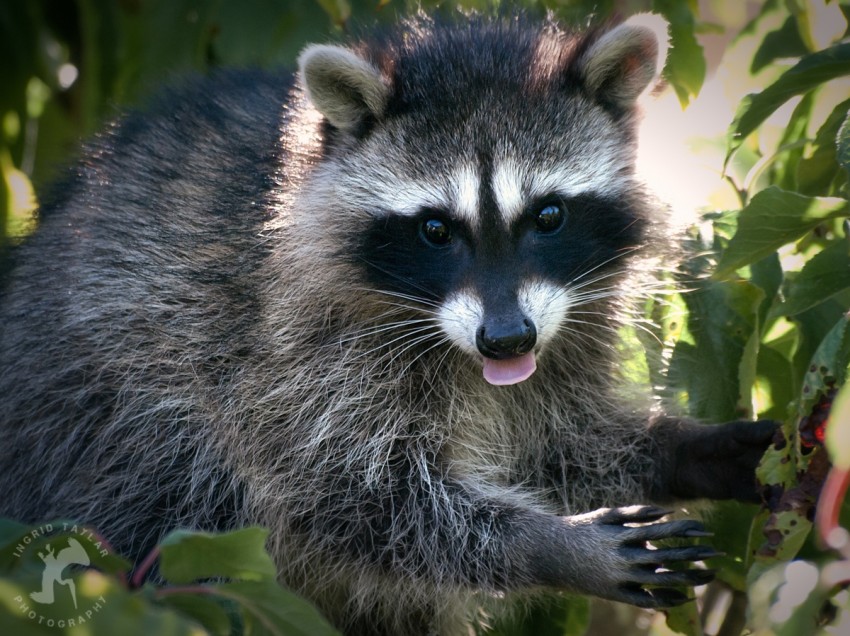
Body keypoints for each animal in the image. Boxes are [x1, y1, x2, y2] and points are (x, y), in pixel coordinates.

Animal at [0, 9, 780, 636]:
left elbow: (561, 446)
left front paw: (682, 449)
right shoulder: (281, 353)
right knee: (174, 480)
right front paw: (550, 543)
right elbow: (348, 495)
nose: (507, 339)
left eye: (549, 215)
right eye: (435, 229)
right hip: (106, 408)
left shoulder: (564, 330)